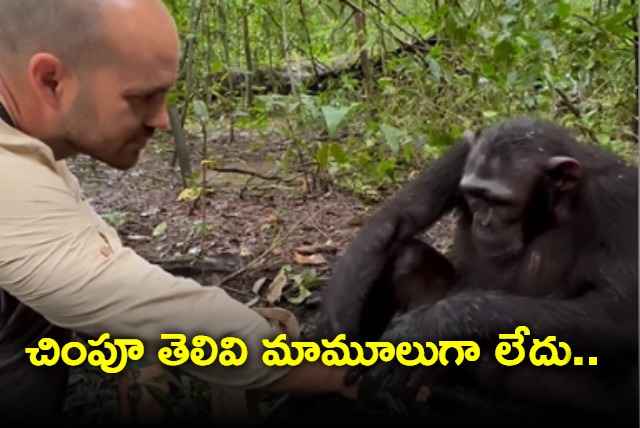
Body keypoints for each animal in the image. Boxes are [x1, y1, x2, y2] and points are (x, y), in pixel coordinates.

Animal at [318, 116, 636, 424]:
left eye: (501, 202)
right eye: (474, 195)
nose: (485, 221)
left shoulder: (620, 199)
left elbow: (617, 311)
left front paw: (426, 329)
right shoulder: (461, 154)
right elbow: (399, 216)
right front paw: (335, 330)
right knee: (408, 256)